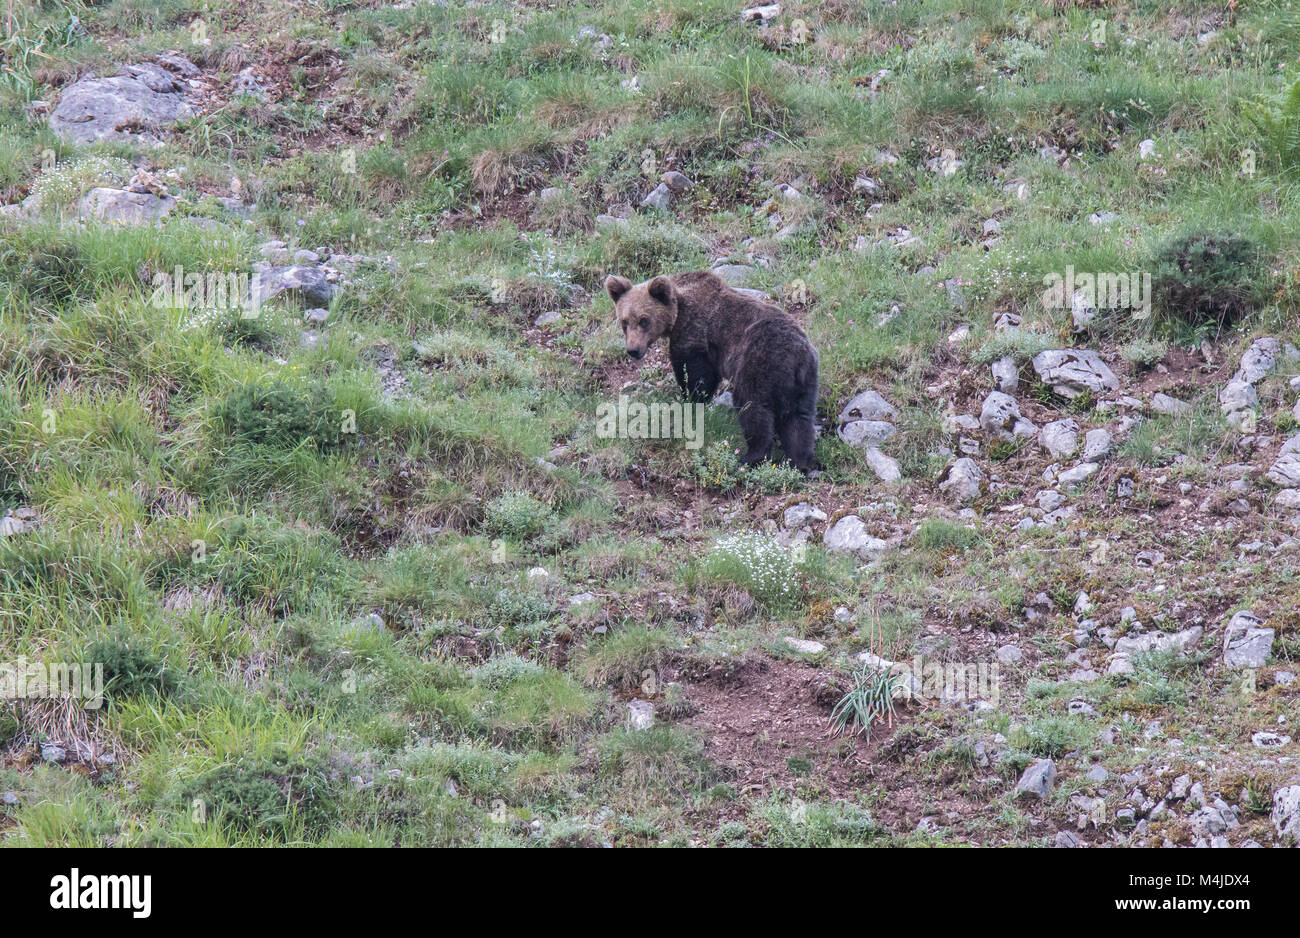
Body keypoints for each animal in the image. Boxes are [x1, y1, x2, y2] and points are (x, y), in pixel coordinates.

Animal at [603, 266, 816, 470]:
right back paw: (797, 461)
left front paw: (691, 400)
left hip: (759, 364)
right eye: (624, 322)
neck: (678, 310)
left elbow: (695, 374)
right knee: (799, 419)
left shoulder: (695, 334)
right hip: (804, 381)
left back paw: (750, 456)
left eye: (644, 319)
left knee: (752, 407)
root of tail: (796, 355)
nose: (633, 350)